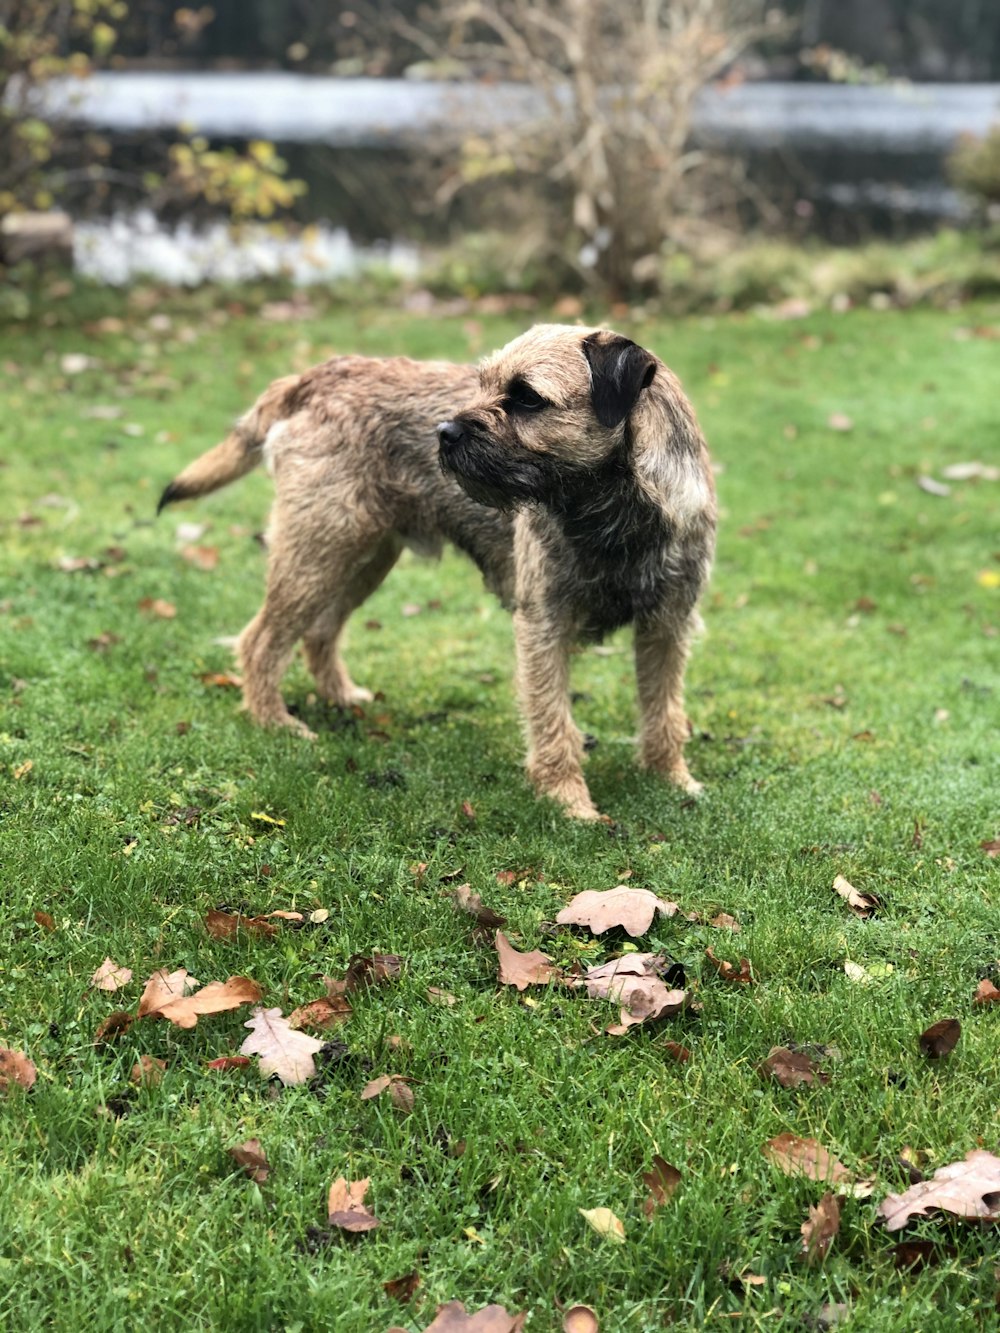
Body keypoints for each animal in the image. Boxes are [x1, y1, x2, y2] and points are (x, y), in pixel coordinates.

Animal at [160, 326, 714, 815]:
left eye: (528, 398)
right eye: (483, 382)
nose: (443, 432)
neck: (612, 515)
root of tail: (318, 374)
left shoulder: (668, 626)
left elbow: (665, 711)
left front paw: (672, 781)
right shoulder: (544, 626)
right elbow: (553, 721)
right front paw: (569, 803)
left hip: (361, 557)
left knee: (320, 630)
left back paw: (341, 698)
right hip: (318, 548)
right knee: (261, 640)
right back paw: (275, 722)